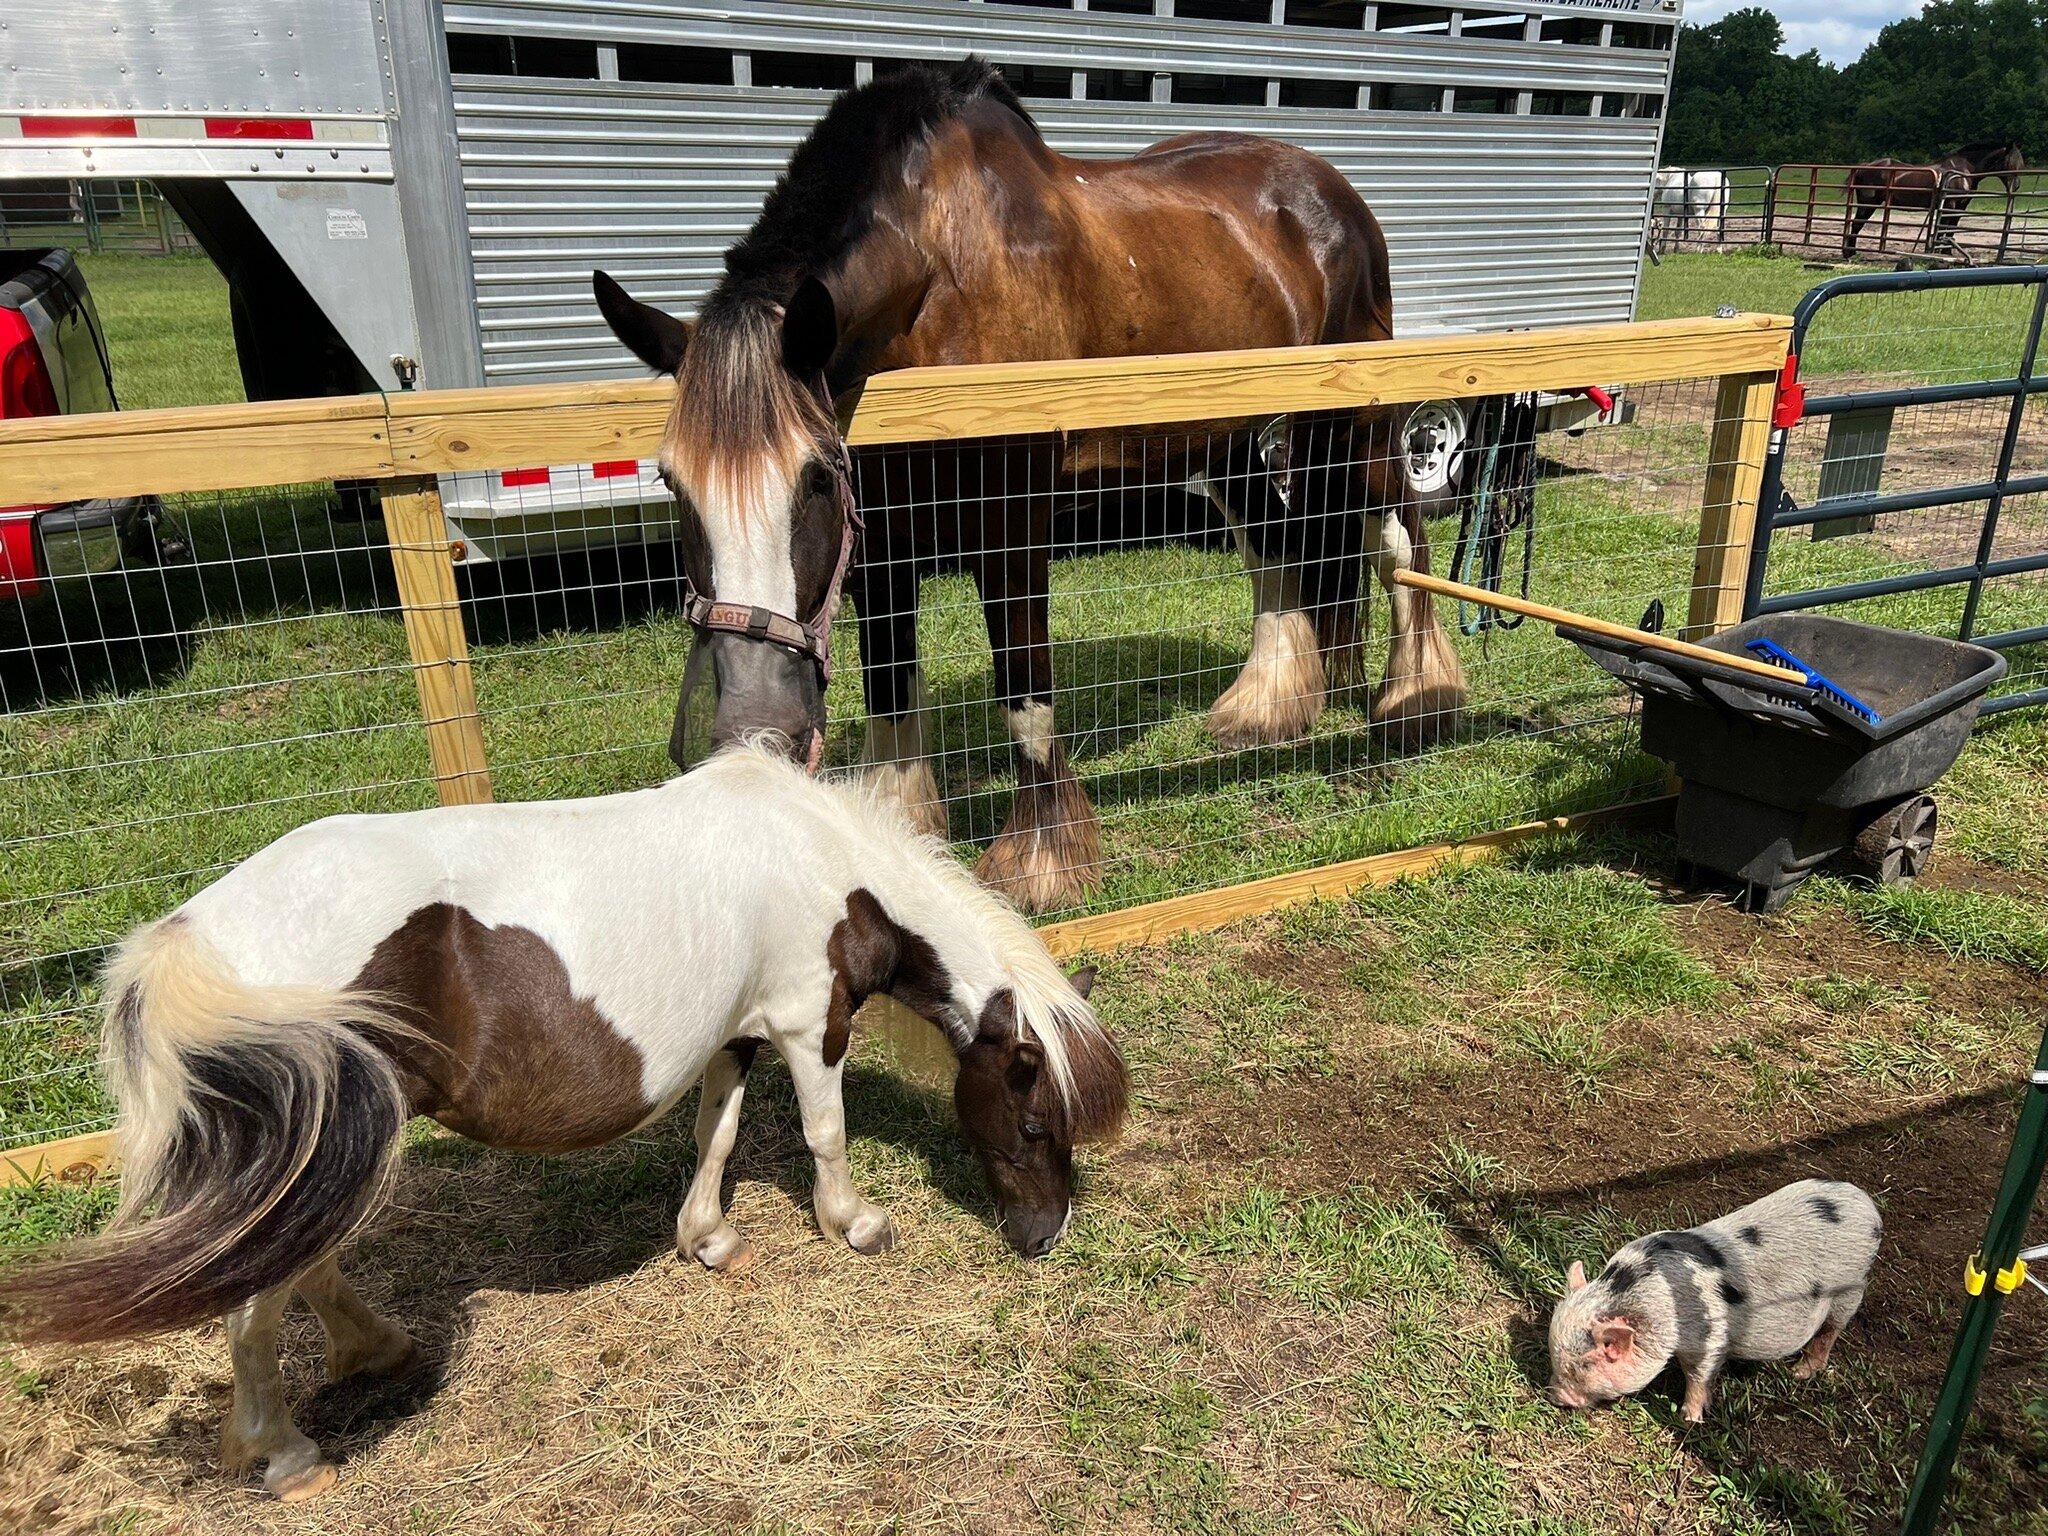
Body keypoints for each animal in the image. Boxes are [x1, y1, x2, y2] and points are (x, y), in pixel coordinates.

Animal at [0, 745, 1122, 1507]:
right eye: (1034, 1120)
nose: (1044, 1237)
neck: (819, 859)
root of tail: (191, 939)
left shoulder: (738, 1034)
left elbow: (715, 1134)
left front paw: (708, 1238)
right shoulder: (812, 1023)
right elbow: (824, 1136)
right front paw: (854, 1225)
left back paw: (376, 1349)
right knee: (258, 1296)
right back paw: (286, 1455)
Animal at [593, 60, 1474, 913]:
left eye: (813, 477)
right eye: (672, 481)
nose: (752, 730)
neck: (939, 281)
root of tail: (1331, 191)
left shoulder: (1010, 524)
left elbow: (1024, 686)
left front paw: (1042, 859)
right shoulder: (882, 541)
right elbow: (890, 687)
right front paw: (901, 830)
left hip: (1355, 424)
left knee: (1397, 538)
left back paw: (1414, 700)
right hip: (1221, 440)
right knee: (1274, 546)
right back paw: (1267, 707)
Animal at [1843, 143, 2031, 257]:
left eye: (2021, 163)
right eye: (2010, 163)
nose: (2016, 186)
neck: (1963, 170)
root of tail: (1864, 166)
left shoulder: (1960, 207)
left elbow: (1951, 230)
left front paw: (1947, 252)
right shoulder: (1950, 205)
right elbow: (1943, 229)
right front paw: (1941, 253)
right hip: (1868, 204)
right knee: (1856, 224)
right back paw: (1849, 254)